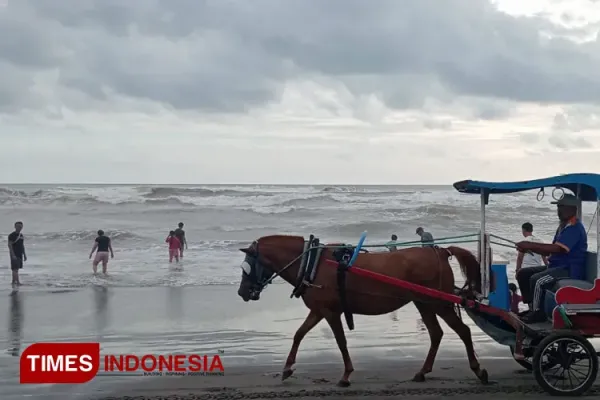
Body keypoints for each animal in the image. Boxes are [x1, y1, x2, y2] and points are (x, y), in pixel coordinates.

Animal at [237, 234, 490, 388]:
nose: (242, 292)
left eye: (246, 266)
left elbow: (341, 342)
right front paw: (288, 368)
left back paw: (478, 370)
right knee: (436, 334)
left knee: (463, 331)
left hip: (438, 303)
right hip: (424, 303)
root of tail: (440, 251)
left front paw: (346, 375)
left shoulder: (330, 312)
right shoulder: (319, 311)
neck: (313, 263)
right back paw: (422, 372)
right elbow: (299, 334)